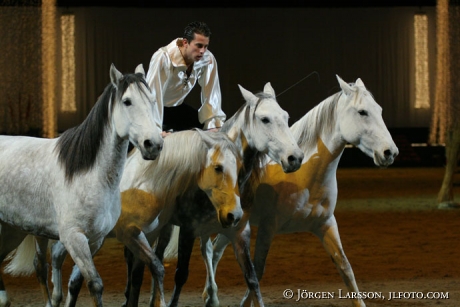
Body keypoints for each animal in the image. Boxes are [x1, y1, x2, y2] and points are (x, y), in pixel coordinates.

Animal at [0, 63, 164, 306]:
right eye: (127, 101)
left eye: (152, 100)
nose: (153, 144)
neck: (90, 176)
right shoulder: (74, 238)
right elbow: (95, 284)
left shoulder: (95, 240)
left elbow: (79, 281)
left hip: (13, 229)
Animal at [122, 82, 306, 307]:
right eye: (265, 119)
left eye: (286, 117)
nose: (295, 157)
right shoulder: (188, 229)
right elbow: (181, 274)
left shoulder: (239, 231)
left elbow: (252, 279)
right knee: (134, 257)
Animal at [205, 75, 398, 307]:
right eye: (362, 112)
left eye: (379, 110)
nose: (390, 152)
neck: (303, 177)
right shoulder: (268, 228)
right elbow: (257, 272)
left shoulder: (326, 224)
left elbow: (345, 267)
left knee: (215, 250)